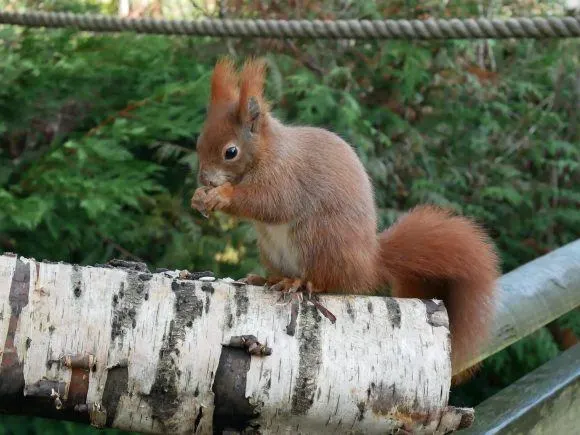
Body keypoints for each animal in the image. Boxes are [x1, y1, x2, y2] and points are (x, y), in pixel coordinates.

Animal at [190, 58, 498, 382]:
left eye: (231, 152)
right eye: (199, 141)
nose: (204, 179)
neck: (266, 152)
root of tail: (368, 263)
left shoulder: (285, 177)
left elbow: (270, 202)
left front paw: (221, 195)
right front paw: (199, 197)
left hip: (317, 238)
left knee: (325, 281)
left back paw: (297, 282)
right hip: (272, 249)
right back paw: (268, 278)